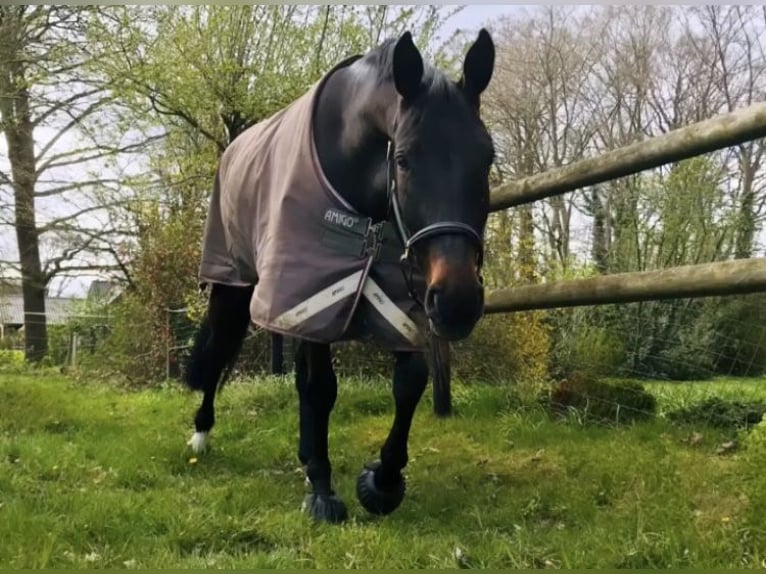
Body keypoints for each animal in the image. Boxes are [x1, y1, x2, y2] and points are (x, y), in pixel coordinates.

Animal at [185, 28, 498, 528]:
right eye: (403, 160)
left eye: (487, 158)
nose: (457, 302)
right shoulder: (312, 294)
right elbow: (320, 389)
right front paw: (321, 488)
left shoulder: (399, 300)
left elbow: (410, 381)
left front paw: (383, 481)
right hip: (235, 283)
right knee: (218, 350)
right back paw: (201, 434)